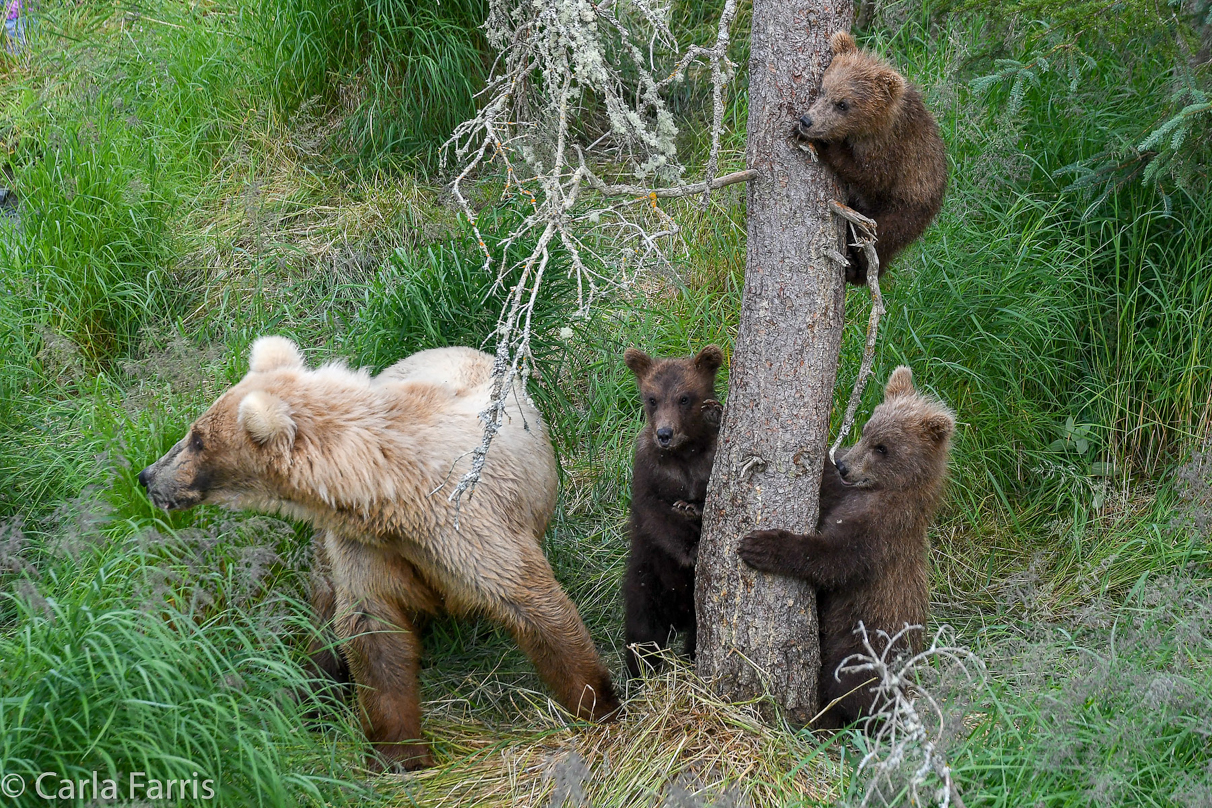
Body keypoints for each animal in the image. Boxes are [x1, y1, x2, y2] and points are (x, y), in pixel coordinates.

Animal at [137, 339, 620, 770]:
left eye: (197, 438)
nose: (148, 476)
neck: (388, 493)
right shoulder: (368, 549)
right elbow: (373, 635)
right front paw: (398, 755)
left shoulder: (466, 527)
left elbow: (531, 602)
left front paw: (599, 702)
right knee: (321, 614)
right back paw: (312, 695)